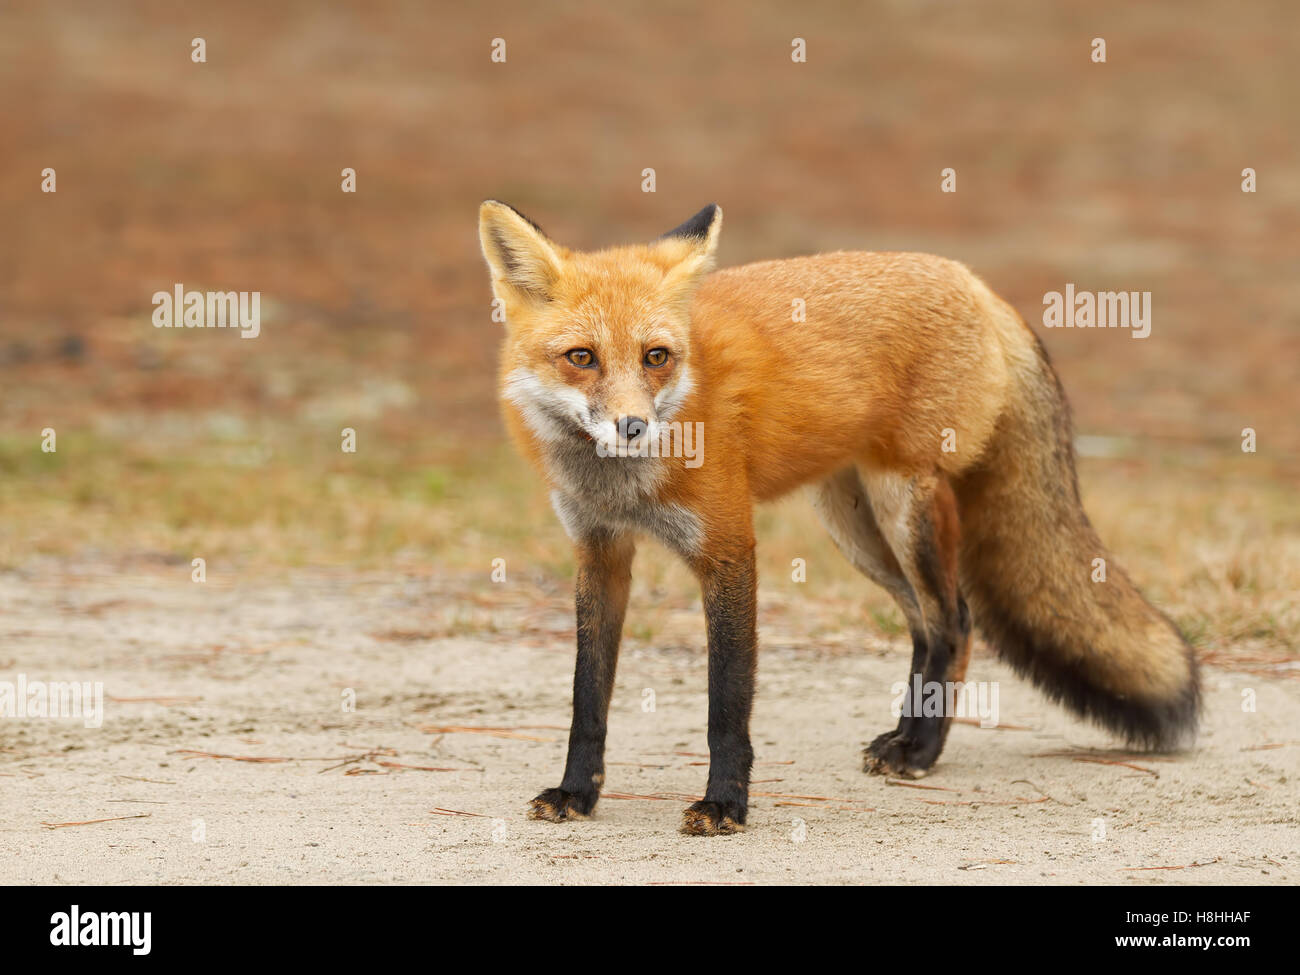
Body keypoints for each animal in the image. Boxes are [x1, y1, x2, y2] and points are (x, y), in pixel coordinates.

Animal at [477, 200, 1200, 837]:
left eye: (656, 356)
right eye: (581, 357)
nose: (632, 426)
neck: (624, 486)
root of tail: (974, 281)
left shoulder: (728, 547)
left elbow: (726, 704)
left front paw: (725, 805)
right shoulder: (600, 553)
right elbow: (587, 697)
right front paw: (576, 792)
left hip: (903, 501)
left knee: (956, 619)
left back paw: (921, 752)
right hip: (854, 525)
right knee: (924, 624)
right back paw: (905, 736)